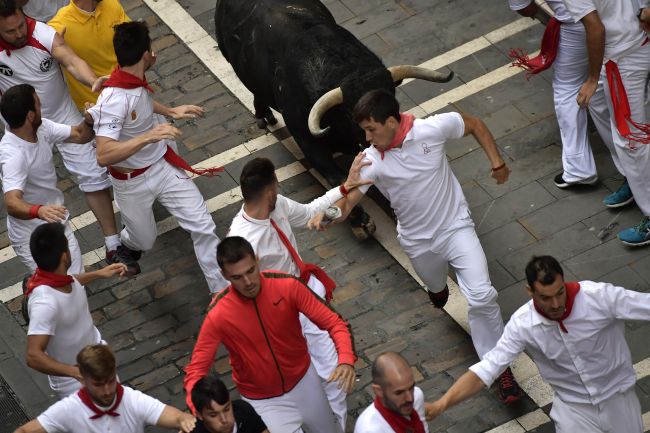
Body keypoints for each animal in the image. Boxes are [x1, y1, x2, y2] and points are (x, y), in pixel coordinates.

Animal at [213, 0, 450, 230]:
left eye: (393, 97)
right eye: (352, 112)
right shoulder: (308, 142)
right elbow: (337, 179)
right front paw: (361, 221)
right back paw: (263, 115)